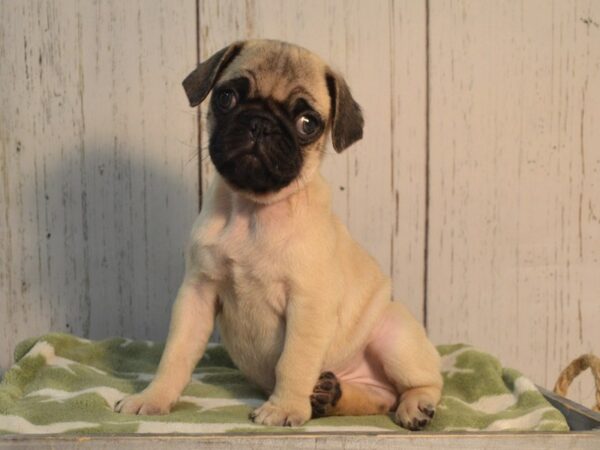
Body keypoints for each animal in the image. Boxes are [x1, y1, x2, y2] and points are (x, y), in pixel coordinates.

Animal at [115, 40, 442, 430]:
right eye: (226, 98)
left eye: (307, 124)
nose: (260, 124)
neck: (253, 211)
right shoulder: (197, 292)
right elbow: (175, 353)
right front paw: (153, 397)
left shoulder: (308, 304)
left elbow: (294, 362)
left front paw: (284, 408)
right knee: (380, 399)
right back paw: (331, 395)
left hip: (394, 335)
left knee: (422, 384)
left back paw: (415, 406)